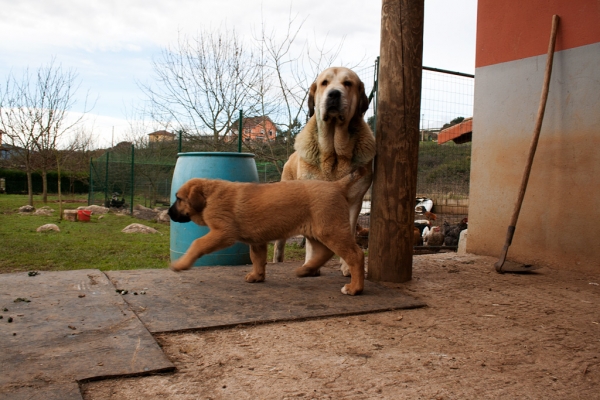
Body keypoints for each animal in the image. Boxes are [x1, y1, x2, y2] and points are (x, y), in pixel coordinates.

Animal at [166, 167, 368, 296]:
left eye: (179, 199)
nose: (168, 213)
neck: (210, 195)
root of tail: (336, 185)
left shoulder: (223, 232)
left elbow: (197, 243)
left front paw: (181, 264)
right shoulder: (256, 241)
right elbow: (257, 258)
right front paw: (257, 276)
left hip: (330, 230)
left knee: (355, 255)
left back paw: (355, 288)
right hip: (317, 232)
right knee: (325, 252)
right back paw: (307, 269)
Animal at [274, 67, 376, 276]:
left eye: (348, 83)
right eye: (324, 83)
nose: (334, 94)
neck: (334, 154)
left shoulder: (354, 202)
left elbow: (349, 232)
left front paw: (347, 266)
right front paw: (310, 265)